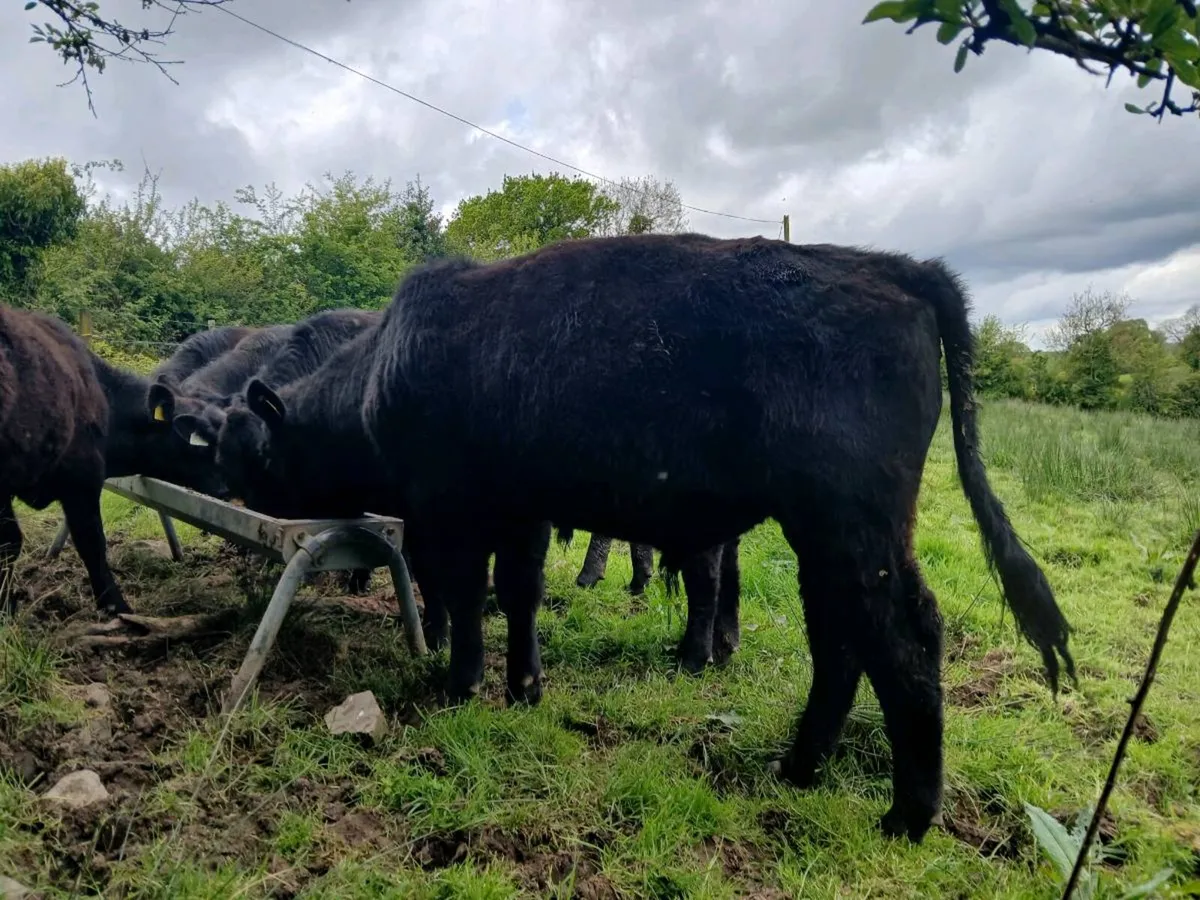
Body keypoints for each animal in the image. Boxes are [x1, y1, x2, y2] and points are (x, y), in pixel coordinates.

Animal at [343, 232, 1074, 843]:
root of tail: (891, 265)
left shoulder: (451, 505)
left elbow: (468, 596)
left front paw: (458, 687)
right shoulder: (522, 510)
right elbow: (518, 593)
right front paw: (523, 689)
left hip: (853, 528)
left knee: (902, 637)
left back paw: (906, 816)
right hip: (826, 536)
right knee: (840, 639)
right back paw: (799, 768)